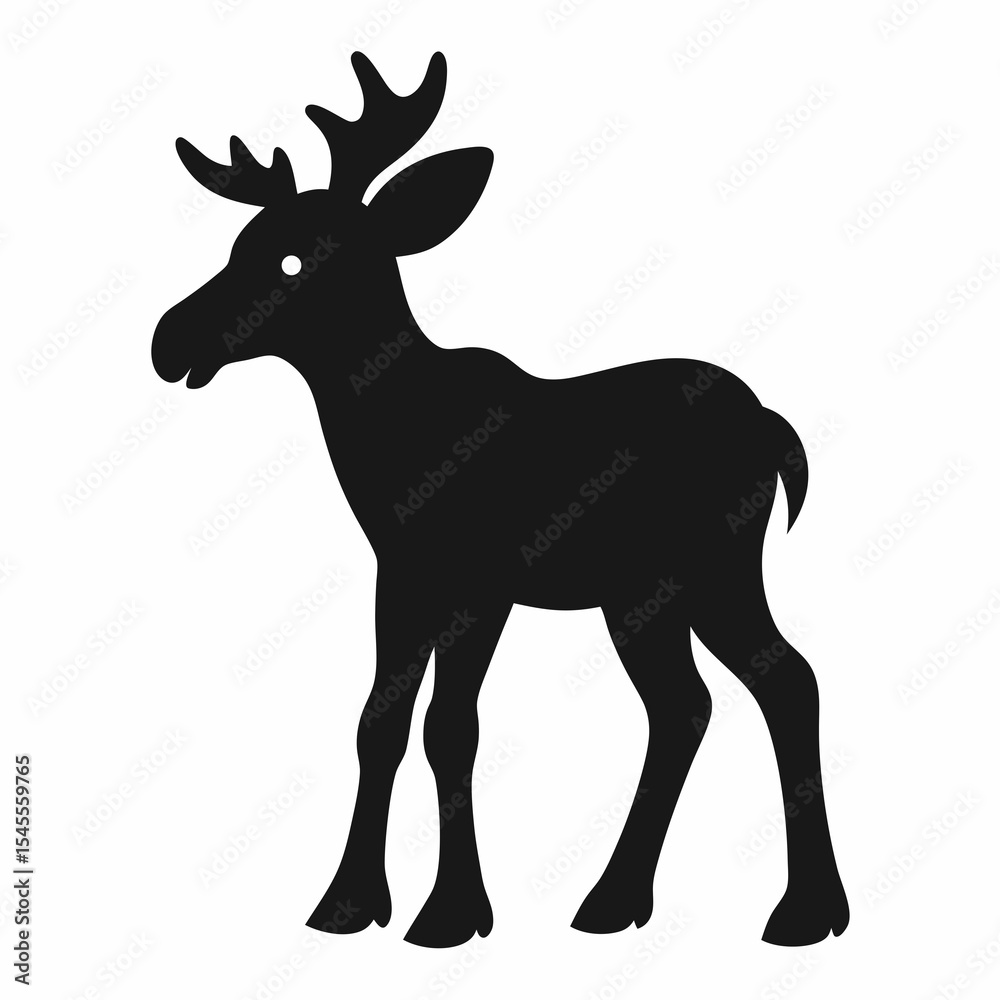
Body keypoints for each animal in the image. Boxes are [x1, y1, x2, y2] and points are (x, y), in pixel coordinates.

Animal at [152, 51, 849, 949]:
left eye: (293, 260)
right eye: (239, 243)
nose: (169, 341)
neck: (388, 440)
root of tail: (776, 430)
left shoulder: (479, 582)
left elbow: (451, 727)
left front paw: (450, 912)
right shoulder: (401, 576)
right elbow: (378, 722)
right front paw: (348, 902)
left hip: (716, 565)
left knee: (787, 679)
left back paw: (806, 910)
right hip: (643, 595)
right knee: (684, 706)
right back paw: (616, 900)